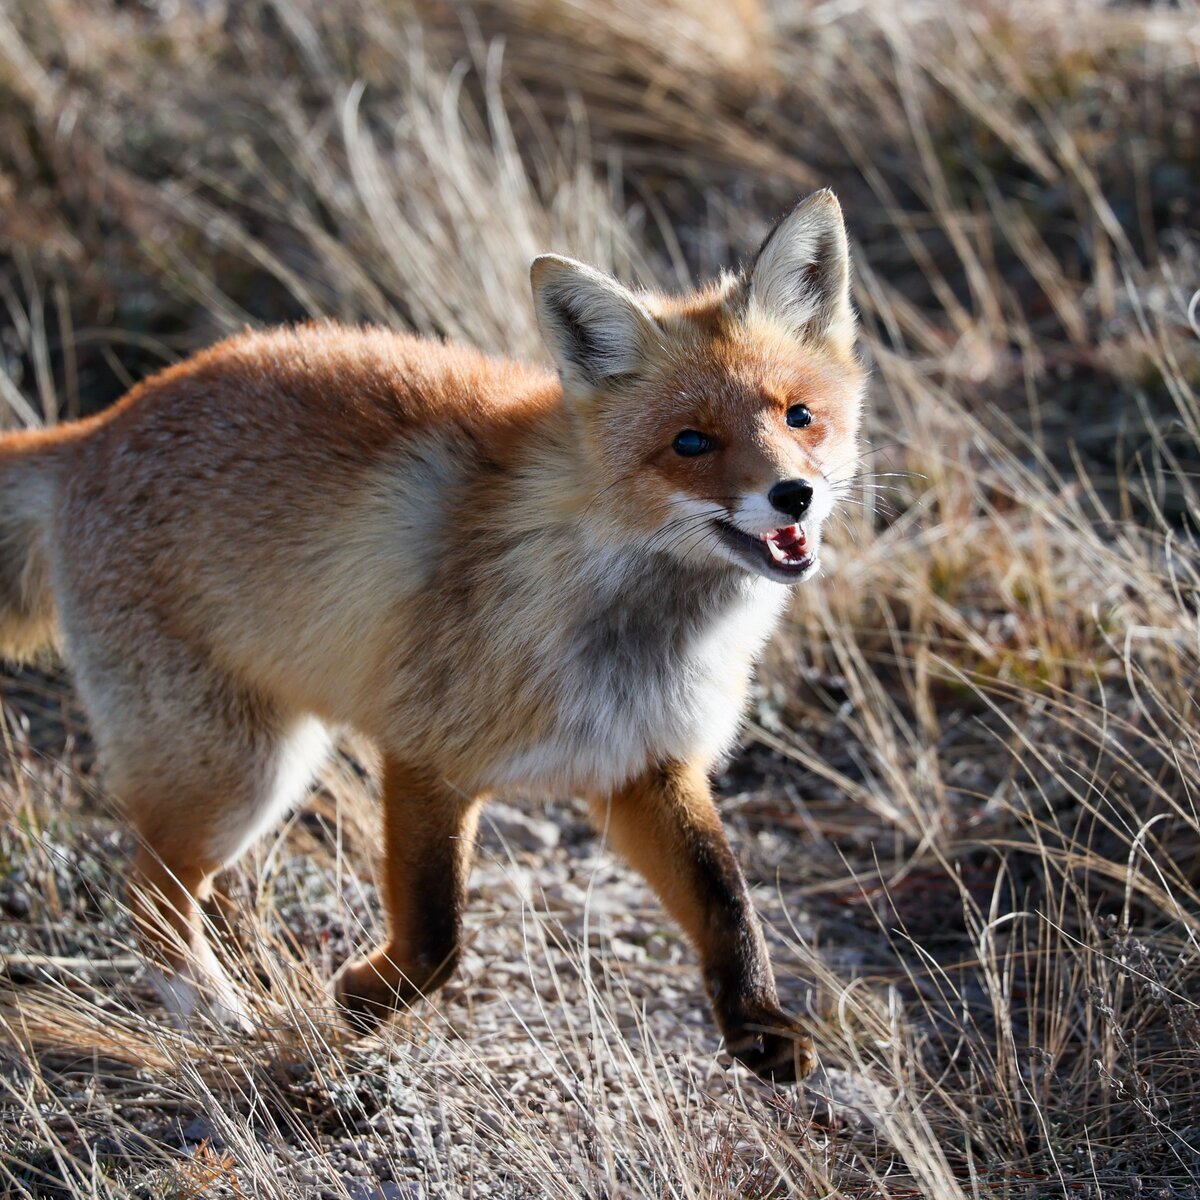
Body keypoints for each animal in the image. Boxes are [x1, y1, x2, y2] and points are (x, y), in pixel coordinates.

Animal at [0, 187, 864, 1080]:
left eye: (799, 417)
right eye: (691, 442)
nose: (793, 494)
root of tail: (96, 428)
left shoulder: (648, 767)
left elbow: (729, 904)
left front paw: (759, 1026)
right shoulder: (425, 756)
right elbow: (437, 936)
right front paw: (359, 1001)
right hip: (239, 774)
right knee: (146, 892)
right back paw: (211, 1013)